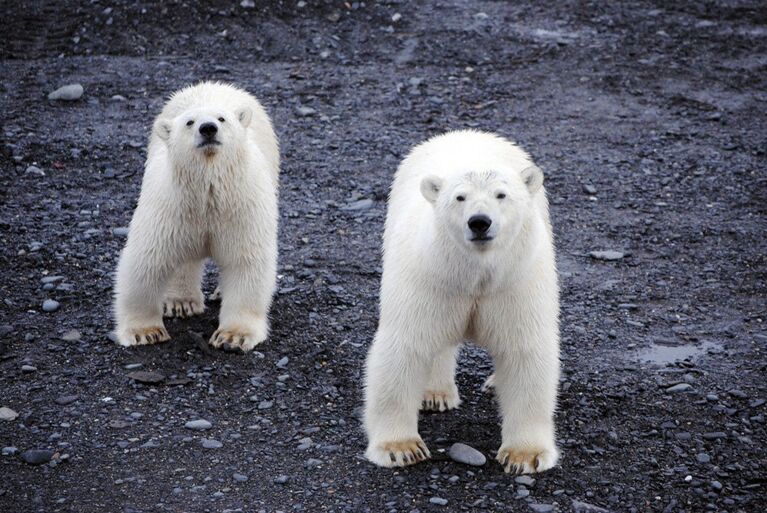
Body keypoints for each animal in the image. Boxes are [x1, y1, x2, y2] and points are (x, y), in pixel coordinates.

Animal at [112, 81, 280, 352]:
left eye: (222, 118)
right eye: (189, 122)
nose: (208, 128)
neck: (208, 192)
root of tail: (213, 84)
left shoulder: (241, 209)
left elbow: (245, 262)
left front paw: (233, 337)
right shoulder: (170, 208)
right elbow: (147, 260)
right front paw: (145, 332)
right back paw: (181, 301)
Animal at [364, 130, 560, 474]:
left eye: (501, 195)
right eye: (460, 197)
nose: (479, 222)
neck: (476, 273)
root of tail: (465, 133)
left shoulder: (515, 282)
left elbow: (524, 349)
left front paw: (525, 456)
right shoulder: (430, 276)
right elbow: (406, 345)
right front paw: (400, 449)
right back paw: (435, 393)